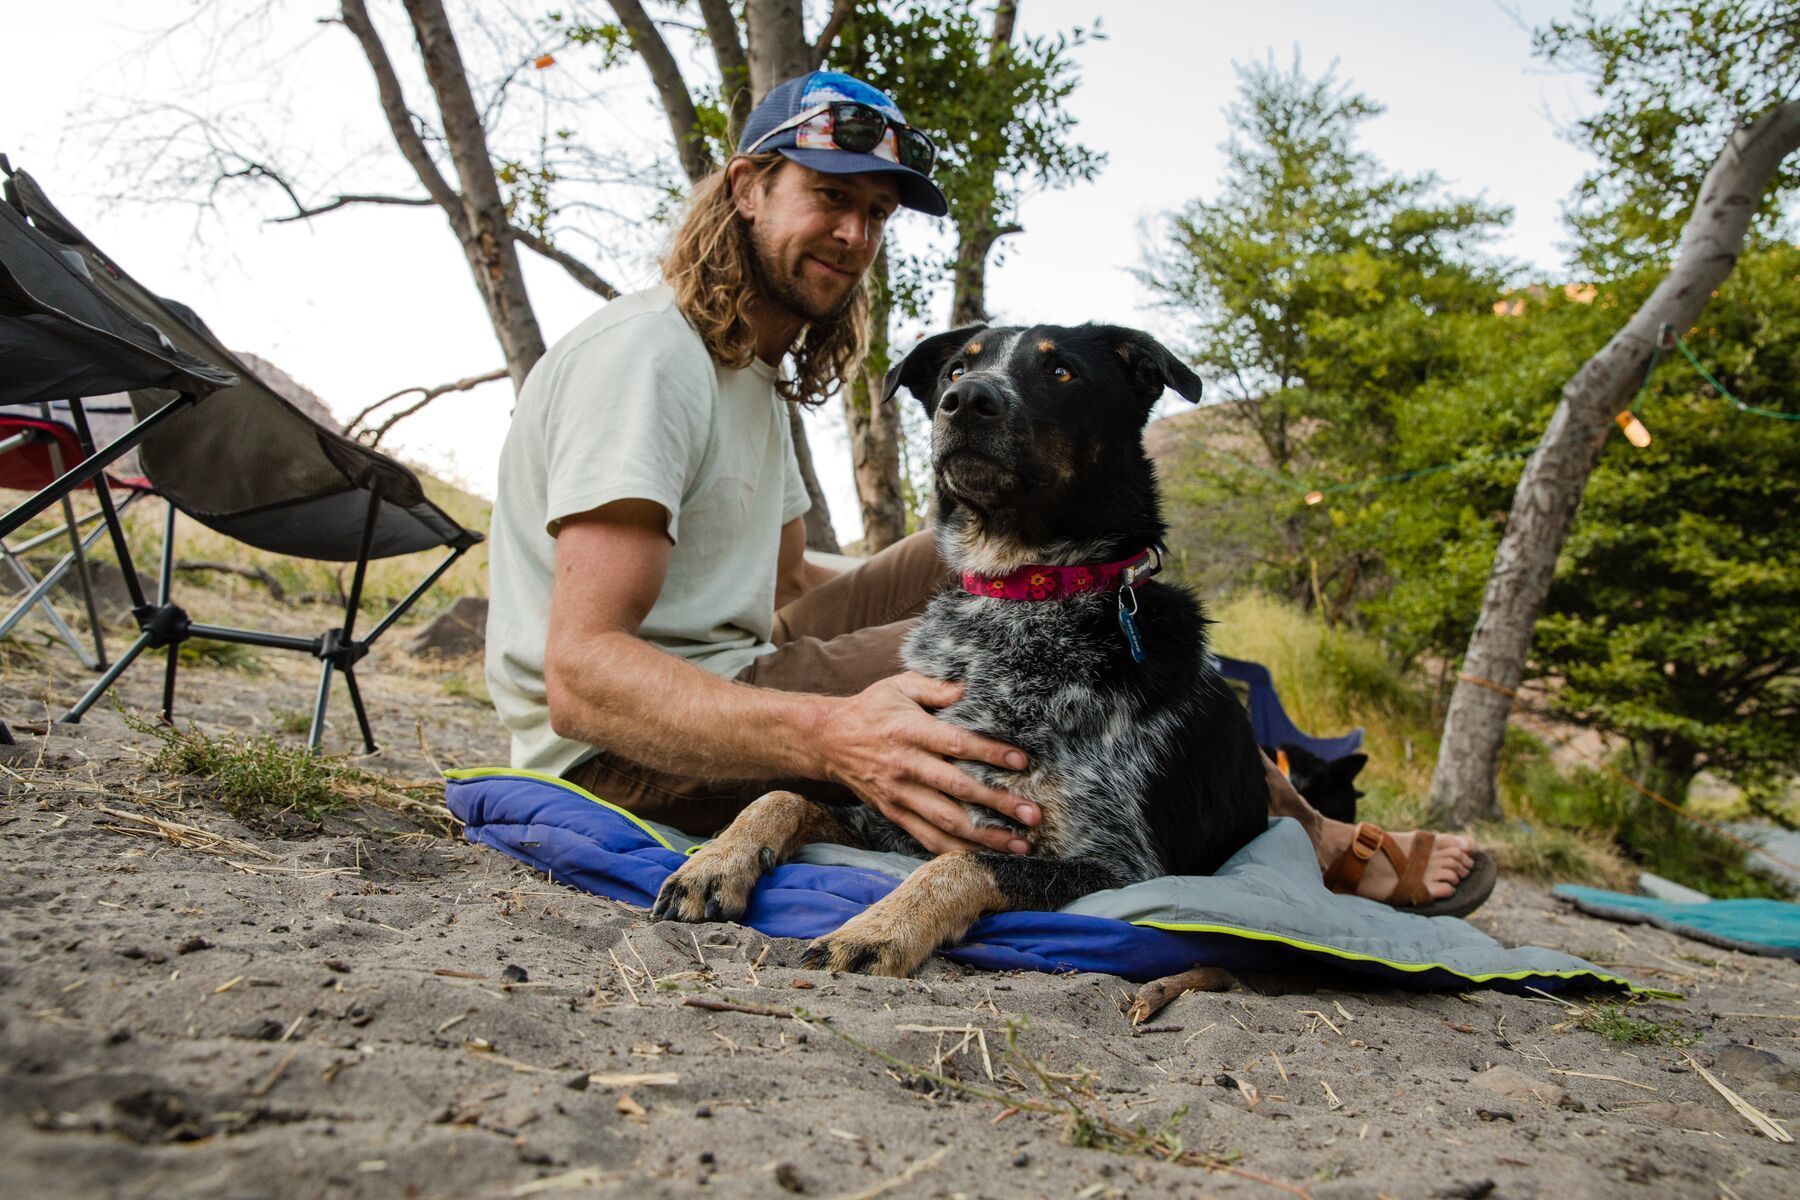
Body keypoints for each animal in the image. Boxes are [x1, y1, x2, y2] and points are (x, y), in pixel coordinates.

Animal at [648, 325, 1267, 978]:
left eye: (1062, 372)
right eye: (955, 372)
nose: (968, 400)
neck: (1022, 593)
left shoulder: (1120, 867)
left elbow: (961, 862)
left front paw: (877, 931)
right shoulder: (903, 817)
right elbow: (782, 797)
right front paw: (715, 860)